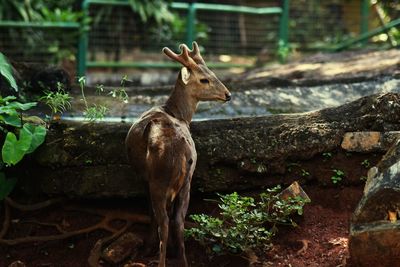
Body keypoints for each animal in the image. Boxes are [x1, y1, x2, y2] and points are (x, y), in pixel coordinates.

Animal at [125, 42, 231, 267]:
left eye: (213, 73)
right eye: (205, 78)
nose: (228, 94)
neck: (178, 114)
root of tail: (179, 152)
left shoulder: (144, 178)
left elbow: (151, 214)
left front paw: (147, 248)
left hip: (160, 179)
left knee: (165, 221)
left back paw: (161, 260)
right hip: (185, 178)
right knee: (177, 220)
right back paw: (180, 259)